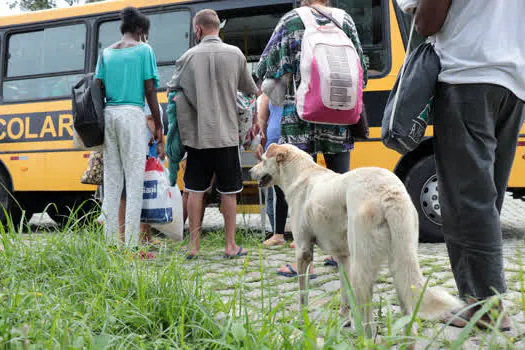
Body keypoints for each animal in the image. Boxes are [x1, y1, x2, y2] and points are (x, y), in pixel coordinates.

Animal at [249, 146, 458, 336]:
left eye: (263, 159)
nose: (250, 171)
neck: (303, 174)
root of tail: (388, 189)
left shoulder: (303, 251)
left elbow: (303, 294)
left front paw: (302, 320)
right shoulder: (343, 257)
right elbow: (344, 292)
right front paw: (344, 320)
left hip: (362, 269)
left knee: (370, 325)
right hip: (400, 265)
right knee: (408, 318)